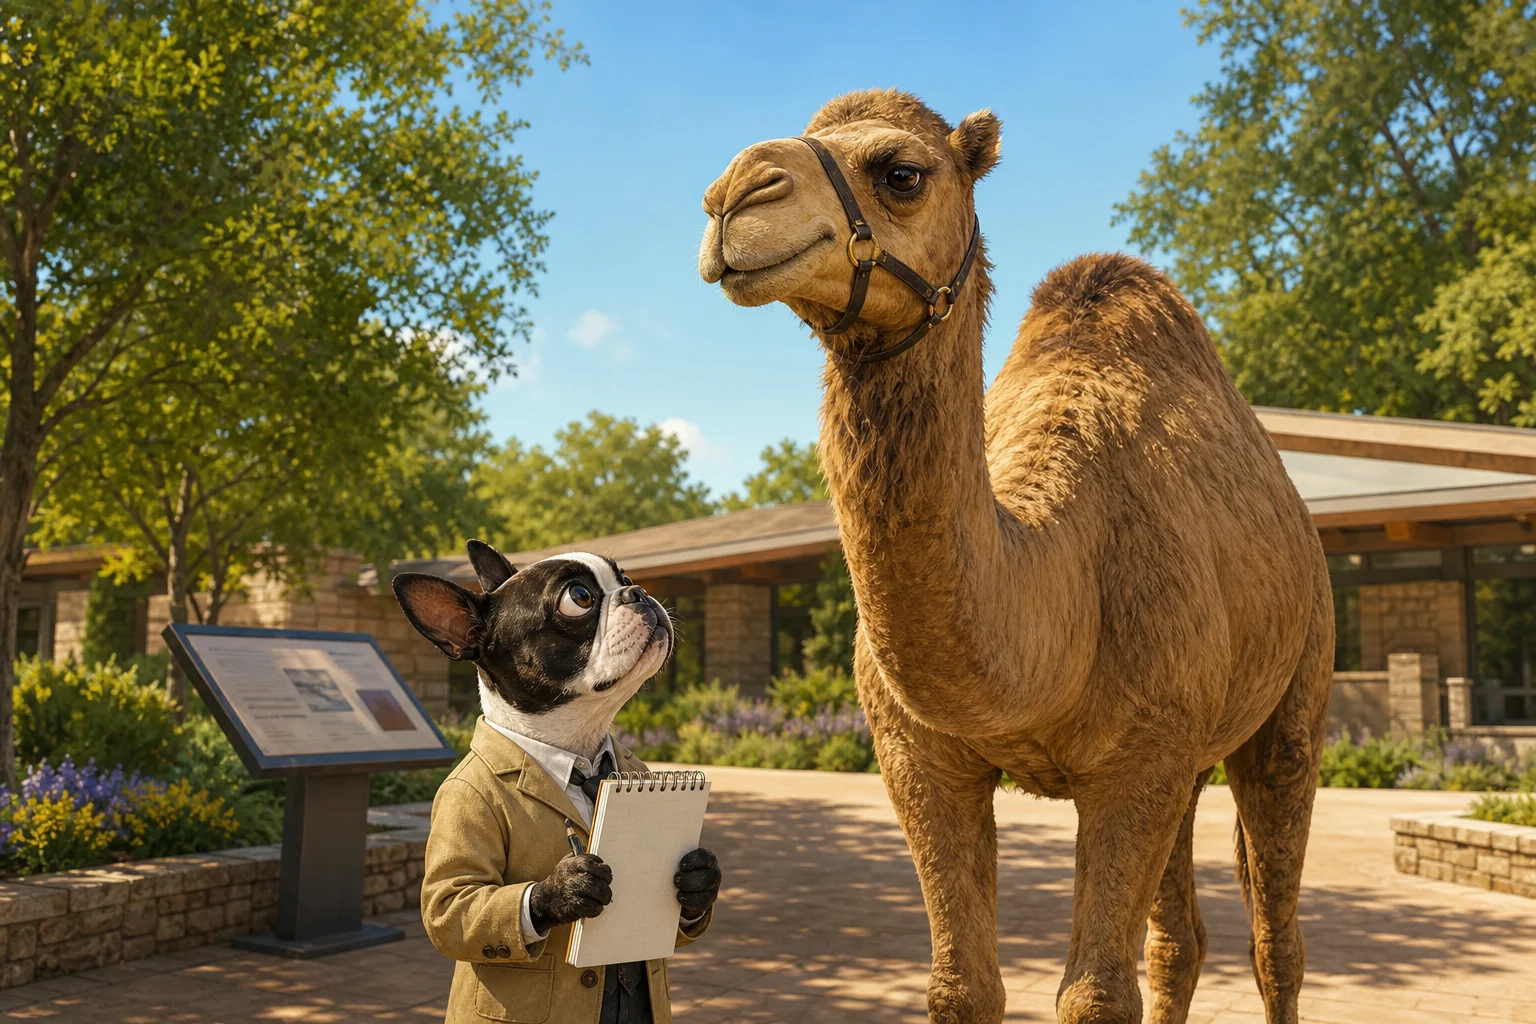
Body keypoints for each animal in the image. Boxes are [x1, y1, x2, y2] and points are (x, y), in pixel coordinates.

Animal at [697, 90, 1332, 1024]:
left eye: (901, 172)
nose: (732, 196)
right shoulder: (919, 756)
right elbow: (963, 985)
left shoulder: (1137, 761)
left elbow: (1095, 995)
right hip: (1188, 758)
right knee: (1181, 940)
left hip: (1295, 693)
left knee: (1276, 940)